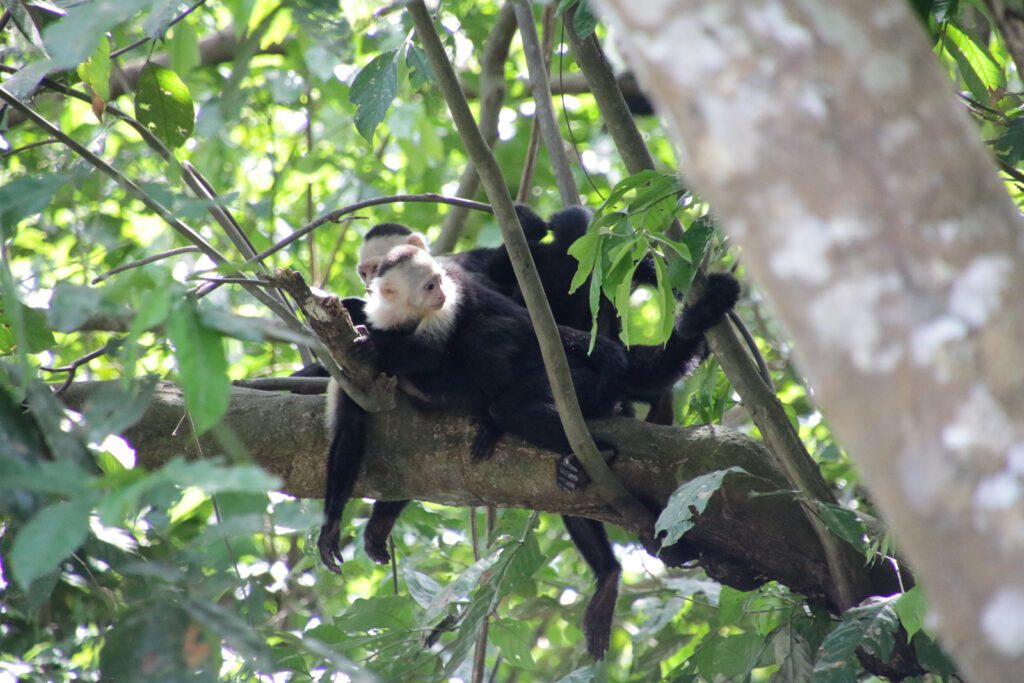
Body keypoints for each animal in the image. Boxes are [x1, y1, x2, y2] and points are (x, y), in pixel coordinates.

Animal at [319, 245, 739, 658]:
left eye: (435, 283)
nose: (438, 294)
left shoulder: (451, 299)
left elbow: (433, 351)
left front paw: (382, 348)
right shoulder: (352, 375)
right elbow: (351, 432)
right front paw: (334, 528)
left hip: (569, 380)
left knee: (495, 358)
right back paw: (602, 553)